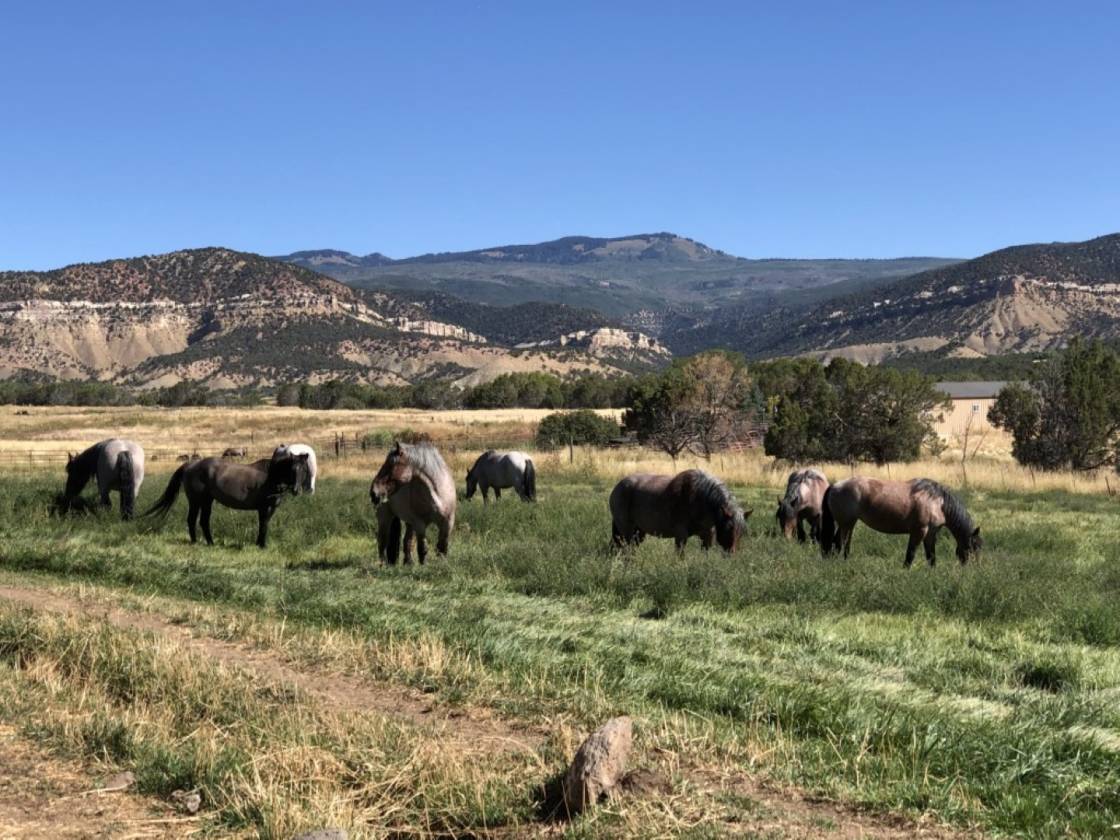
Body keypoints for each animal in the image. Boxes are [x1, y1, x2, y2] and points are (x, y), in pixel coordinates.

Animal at [143, 450, 310, 548]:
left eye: (304, 469)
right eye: (292, 469)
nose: (296, 490)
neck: (271, 476)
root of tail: (191, 464)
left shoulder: (271, 507)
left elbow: (265, 524)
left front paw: (259, 543)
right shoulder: (263, 507)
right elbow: (263, 525)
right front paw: (262, 545)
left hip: (207, 501)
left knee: (203, 521)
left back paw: (210, 543)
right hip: (196, 501)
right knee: (192, 520)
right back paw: (196, 542)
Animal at [609, 469, 751, 553]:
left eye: (742, 532)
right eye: (728, 529)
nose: (731, 553)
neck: (700, 498)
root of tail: (617, 487)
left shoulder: (707, 536)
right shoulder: (681, 535)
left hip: (639, 532)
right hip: (627, 531)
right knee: (627, 549)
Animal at [820, 477, 982, 566]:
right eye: (972, 547)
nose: (974, 569)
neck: (937, 502)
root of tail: (835, 486)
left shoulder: (930, 534)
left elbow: (931, 557)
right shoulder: (919, 531)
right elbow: (910, 555)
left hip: (849, 523)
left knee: (841, 544)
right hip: (846, 523)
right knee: (839, 543)